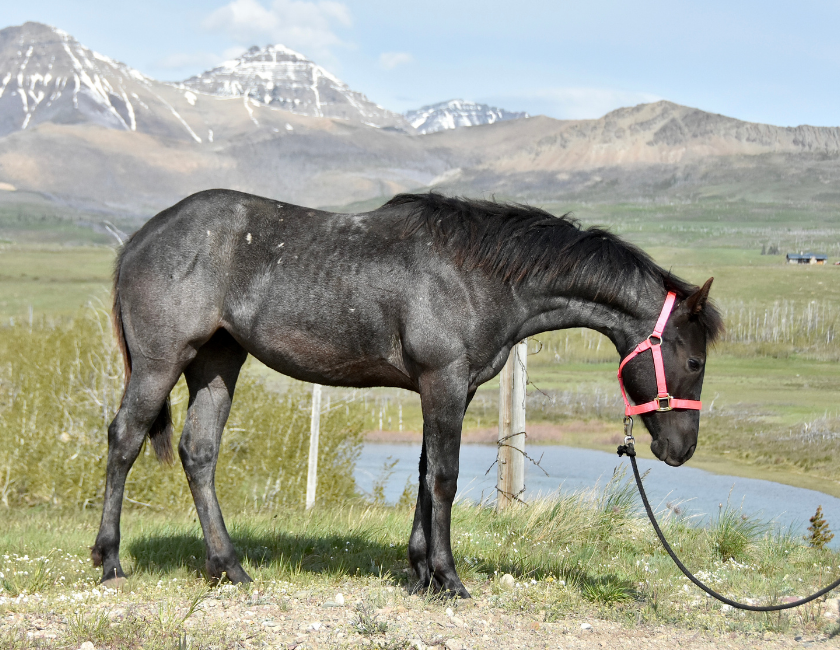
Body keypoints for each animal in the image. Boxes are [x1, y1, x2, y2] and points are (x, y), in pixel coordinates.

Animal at [91, 190, 723, 598]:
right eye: (694, 361)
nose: (683, 448)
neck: (480, 274)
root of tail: (139, 239)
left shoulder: (448, 389)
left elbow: (424, 472)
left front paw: (421, 573)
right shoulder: (442, 381)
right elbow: (444, 477)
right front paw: (448, 578)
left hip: (218, 363)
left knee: (199, 453)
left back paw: (229, 568)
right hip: (160, 362)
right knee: (124, 440)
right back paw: (110, 560)